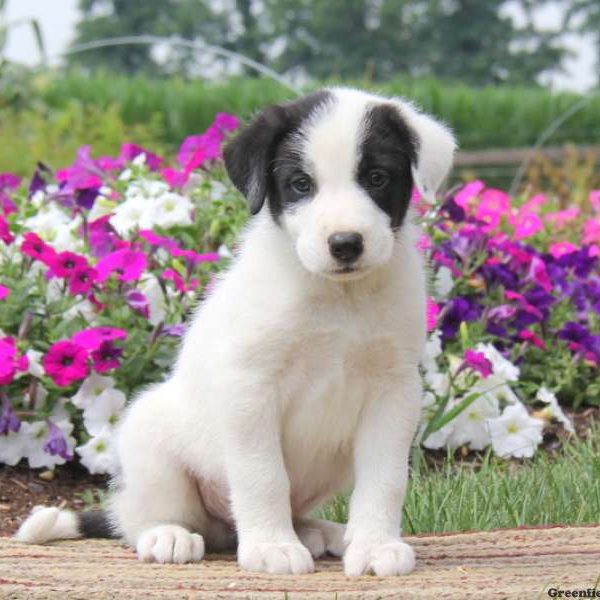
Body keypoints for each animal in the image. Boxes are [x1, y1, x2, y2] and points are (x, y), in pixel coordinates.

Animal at [17, 85, 454, 576]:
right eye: (301, 184)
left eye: (377, 177)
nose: (345, 244)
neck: (337, 298)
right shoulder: (251, 386)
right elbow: (263, 474)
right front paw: (271, 546)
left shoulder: (393, 390)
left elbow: (385, 478)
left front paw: (375, 545)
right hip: (151, 441)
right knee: (140, 518)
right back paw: (168, 535)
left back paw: (318, 531)